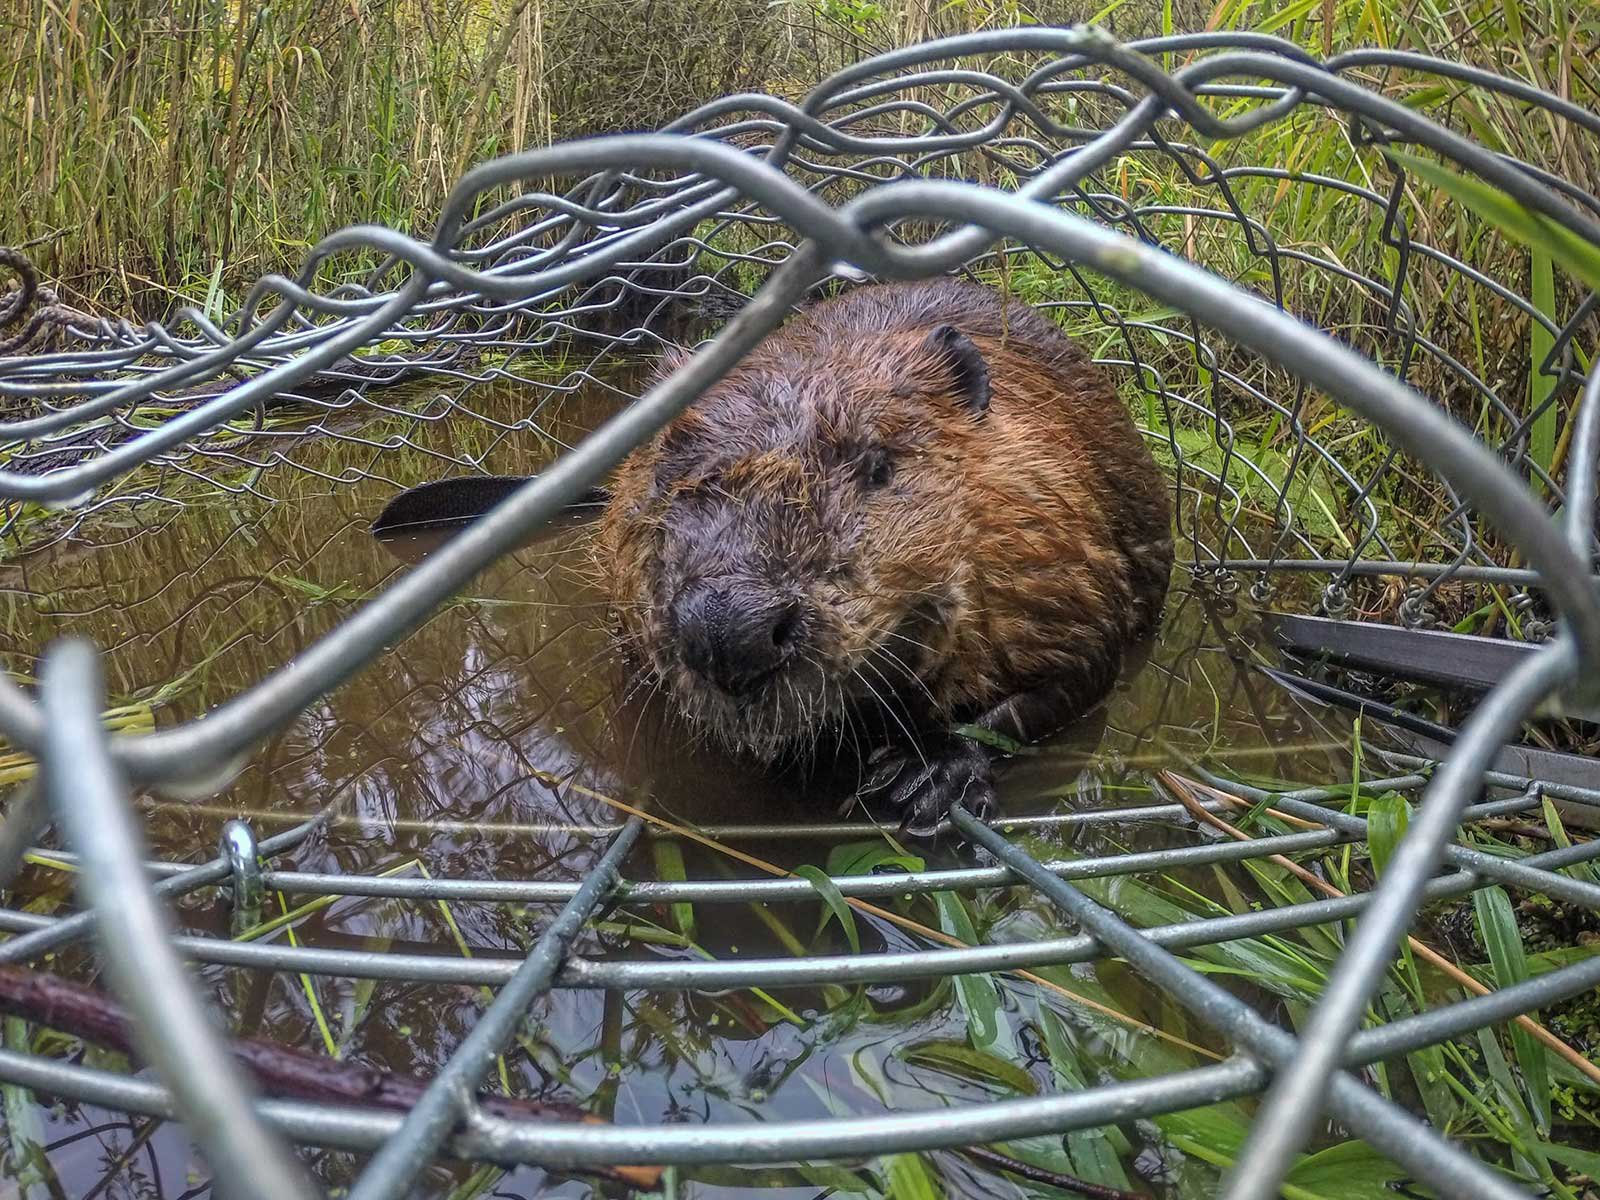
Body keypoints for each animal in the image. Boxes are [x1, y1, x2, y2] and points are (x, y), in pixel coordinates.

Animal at [595, 276, 1171, 832]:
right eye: (668, 479)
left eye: (879, 467)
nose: (727, 629)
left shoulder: (1049, 552)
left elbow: (1081, 670)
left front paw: (923, 779)